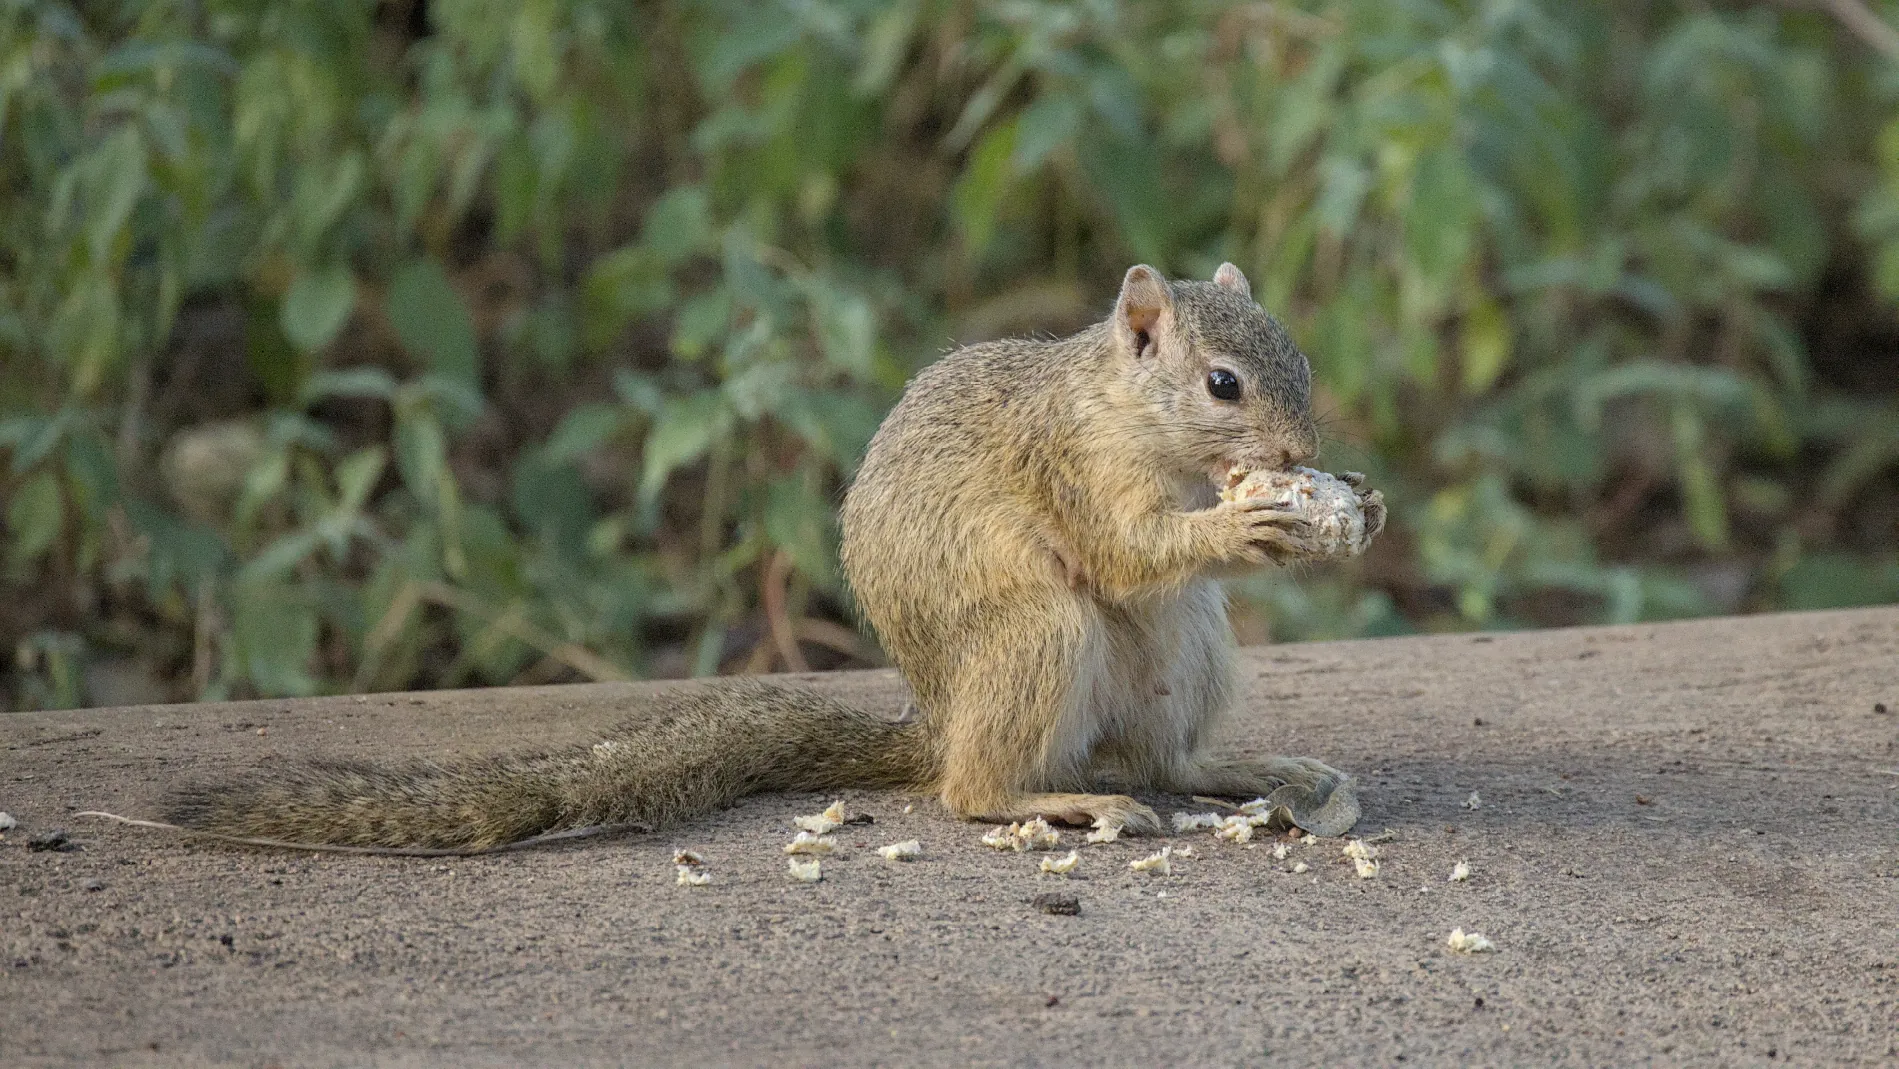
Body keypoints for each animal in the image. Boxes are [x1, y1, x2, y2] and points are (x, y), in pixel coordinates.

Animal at [157, 263, 1383, 852]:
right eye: (1222, 383)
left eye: (1300, 359)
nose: (1300, 452)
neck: (1126, 412)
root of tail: (937, 716)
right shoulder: (1073, 466)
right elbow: (1122, 550)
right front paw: (1245, 524)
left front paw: (1337, 507)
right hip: (1037, 636)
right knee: (973, 788)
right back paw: (1061, 802)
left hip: (1187, 649)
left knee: (1163, 758)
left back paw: (1245, 770)